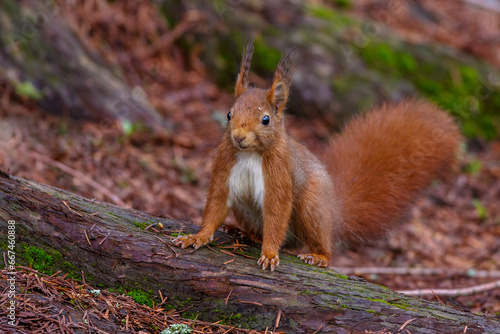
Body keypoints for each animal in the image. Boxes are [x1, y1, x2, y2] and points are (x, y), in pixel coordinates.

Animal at [175, 39, 460, 272]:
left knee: (318, 244)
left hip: (311, 207)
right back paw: (245, 233)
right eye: (228, 114)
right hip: (246, 210)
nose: (238, 137)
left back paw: (318, 256)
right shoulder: (226, 166)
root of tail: (334, 213)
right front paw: (197, 237)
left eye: (266, 119)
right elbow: (216, 204)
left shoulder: (279, 175)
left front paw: (269, 254)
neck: (250, 153)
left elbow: (277, 213)